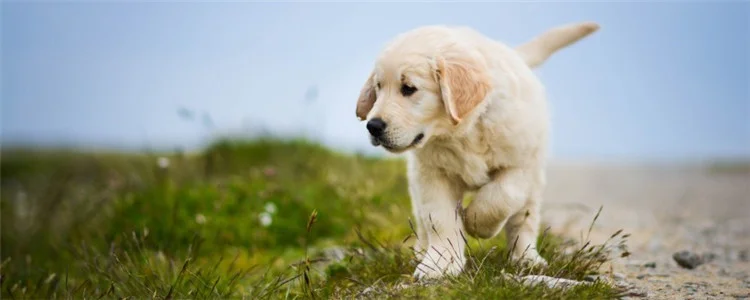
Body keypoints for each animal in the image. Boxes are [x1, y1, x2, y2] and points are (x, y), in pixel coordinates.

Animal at [356, 22, 600, 280]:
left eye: (409, 88)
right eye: (379, 87)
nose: (373, 126)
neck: (464, 131)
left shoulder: (521, 163)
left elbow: (502, 197)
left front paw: (475, 222)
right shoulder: (432, 173)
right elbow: (439, 218)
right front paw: (440, 263)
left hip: (534, 180)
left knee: (524, 219)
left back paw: (526, 258)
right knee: (422, 220)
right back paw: (422, 250)